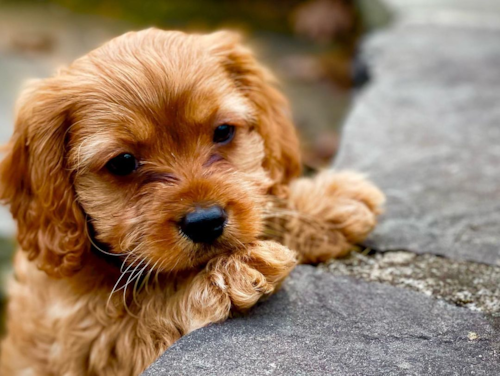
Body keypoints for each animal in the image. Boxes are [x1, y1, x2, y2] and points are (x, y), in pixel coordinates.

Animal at [0, 27, 382, 374]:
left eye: (223, 132)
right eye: (123, 162)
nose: (206, 222)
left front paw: (323, 206)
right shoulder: (89, 343)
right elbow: (148, 313)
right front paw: (228, 274)